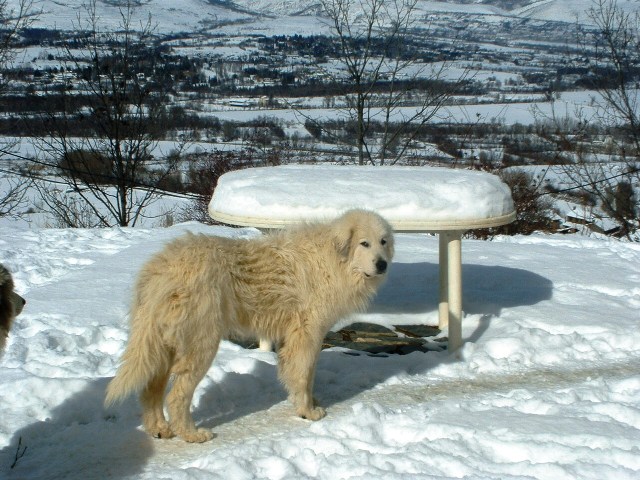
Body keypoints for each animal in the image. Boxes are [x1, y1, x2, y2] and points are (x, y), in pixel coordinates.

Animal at [105, 209, 396, 442]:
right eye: (364, 243)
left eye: (383, 242)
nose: (382, 264)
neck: (335, 260)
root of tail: (160, 268)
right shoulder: (307, 334)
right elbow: (303, 375)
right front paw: (308, 411)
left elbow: (306, 374)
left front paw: (308, 403)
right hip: (201, 345)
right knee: (176, 396)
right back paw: (191, 435)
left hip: (163, 345)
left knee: (150, 391)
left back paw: (159, 429)